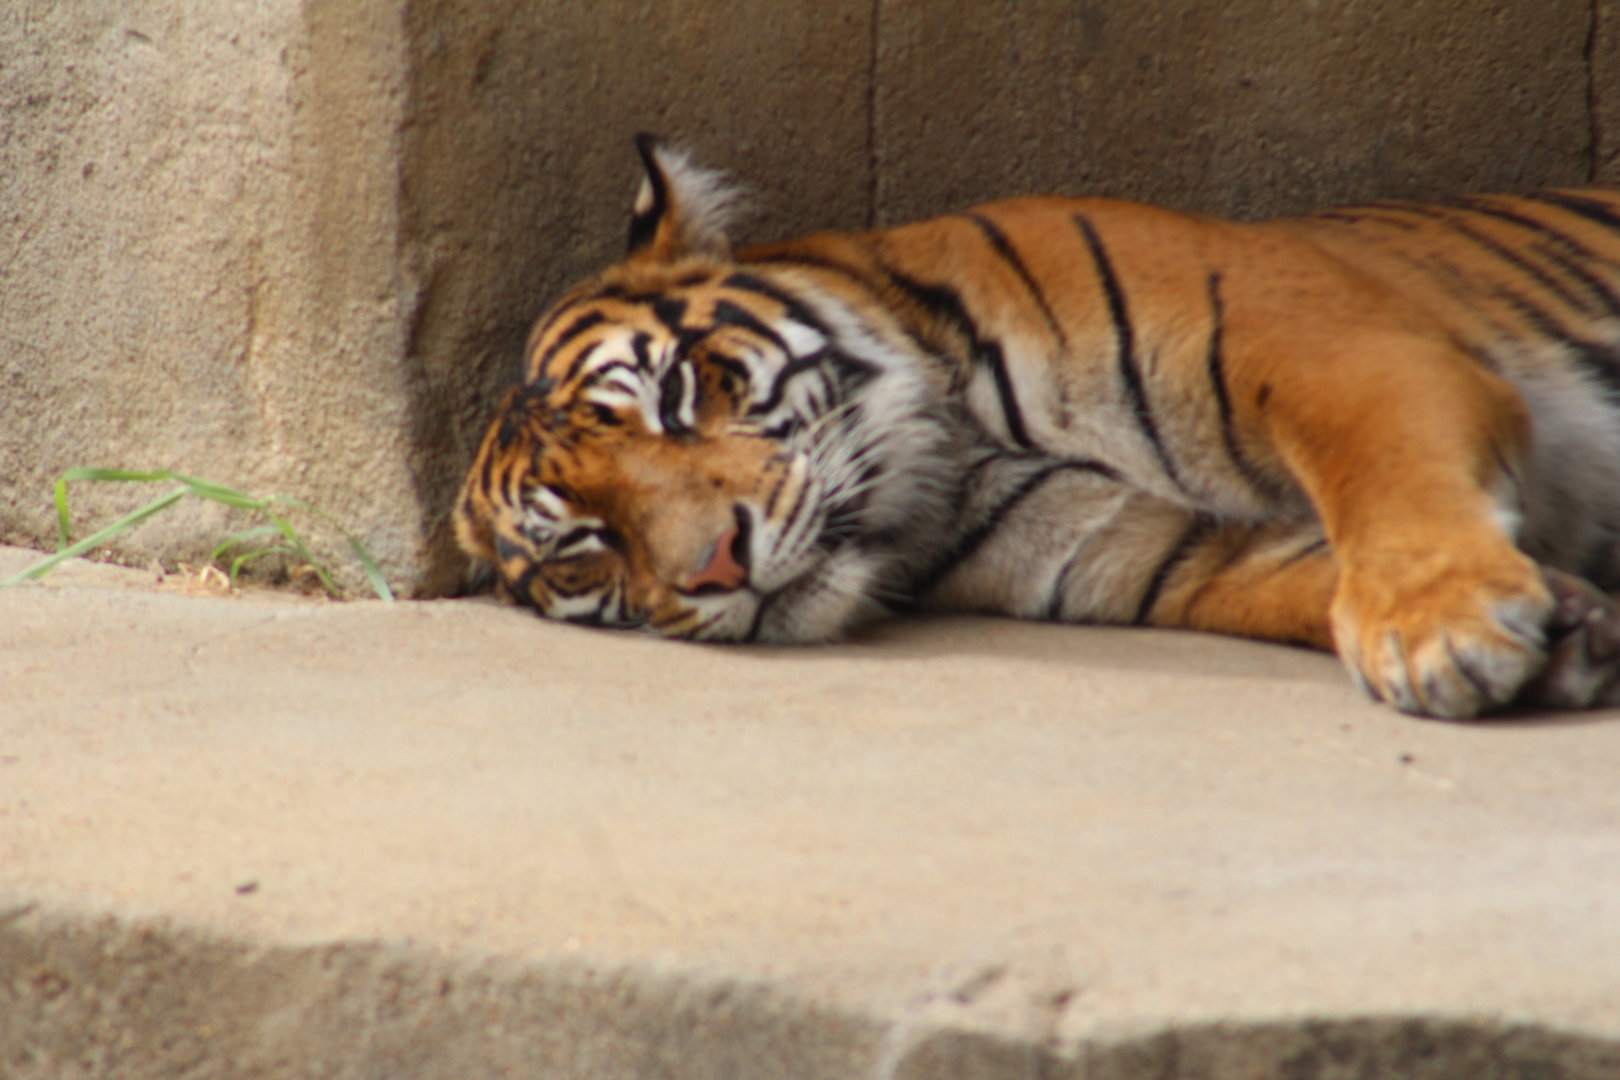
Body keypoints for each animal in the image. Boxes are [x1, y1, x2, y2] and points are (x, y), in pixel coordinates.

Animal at [455, 134, 1620, 719]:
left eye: (680, 397)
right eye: (585, 544)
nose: (717, 568)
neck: (961, 455)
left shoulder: (1332, 350)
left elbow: (1385, 482)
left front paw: (1443, 630)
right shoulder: (1163, 552)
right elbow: (1316, 581)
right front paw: (1566, 629)